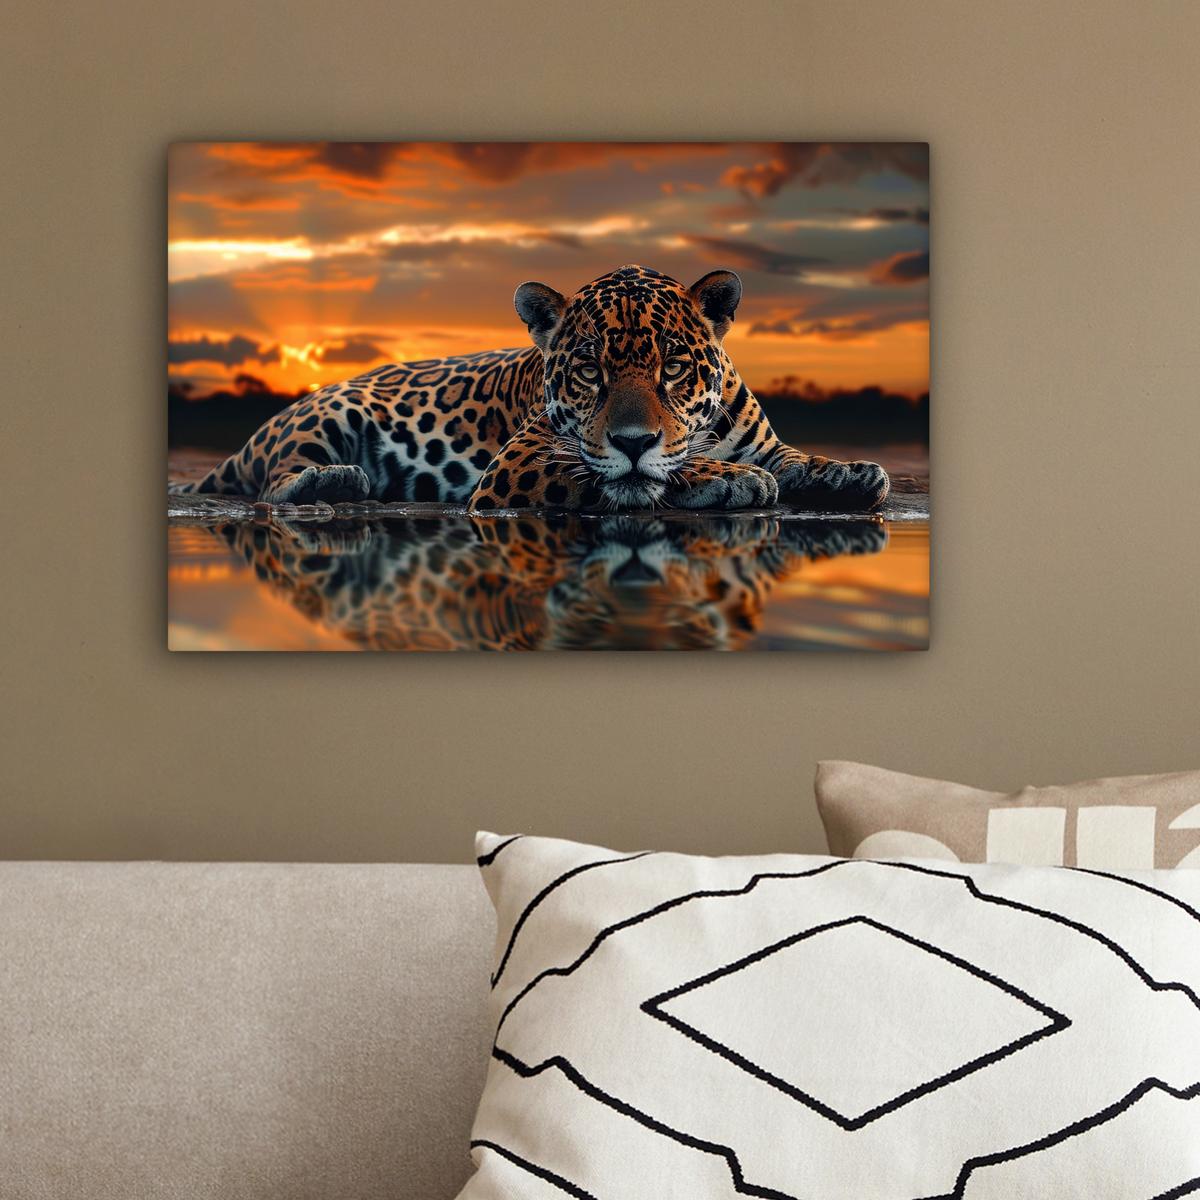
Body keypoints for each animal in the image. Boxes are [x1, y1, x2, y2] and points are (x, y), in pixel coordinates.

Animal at [170, 265, 890, 513]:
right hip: (327, 416)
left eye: (674, 368)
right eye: (591, 372)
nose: (633, 439)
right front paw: (726, 478)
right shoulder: (521, 461)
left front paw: (852, 473)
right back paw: (336, 482)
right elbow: (637, 473)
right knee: (272, 482)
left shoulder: (765, 442)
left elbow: (797, 459)